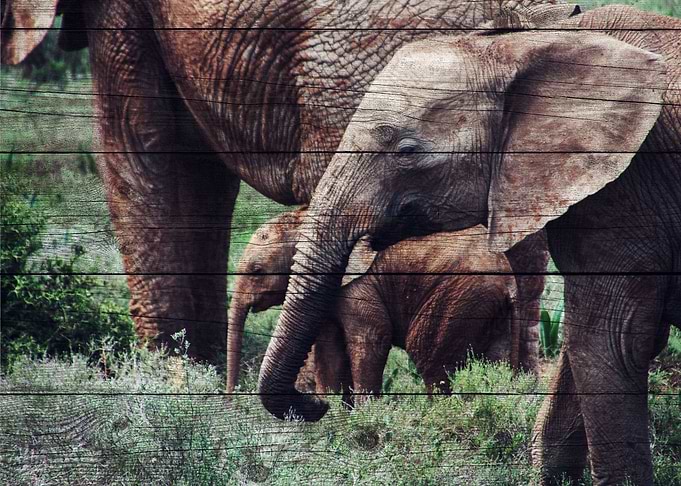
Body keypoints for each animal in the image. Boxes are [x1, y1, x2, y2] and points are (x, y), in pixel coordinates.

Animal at [226, 209, 519, 402]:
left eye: (256, 271)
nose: (232, 395)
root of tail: (509, 282)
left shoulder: (359, 286)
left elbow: (371, 339)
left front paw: (366, 415)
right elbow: (328, 350)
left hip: (459, 295)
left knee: (428, 356)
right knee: (498, 361)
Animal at [257, 5, 680, 485]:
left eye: (406, 151)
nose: (316, 405)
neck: (530, 41)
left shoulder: (627, 188)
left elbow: (611, 342)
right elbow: (592, 348)